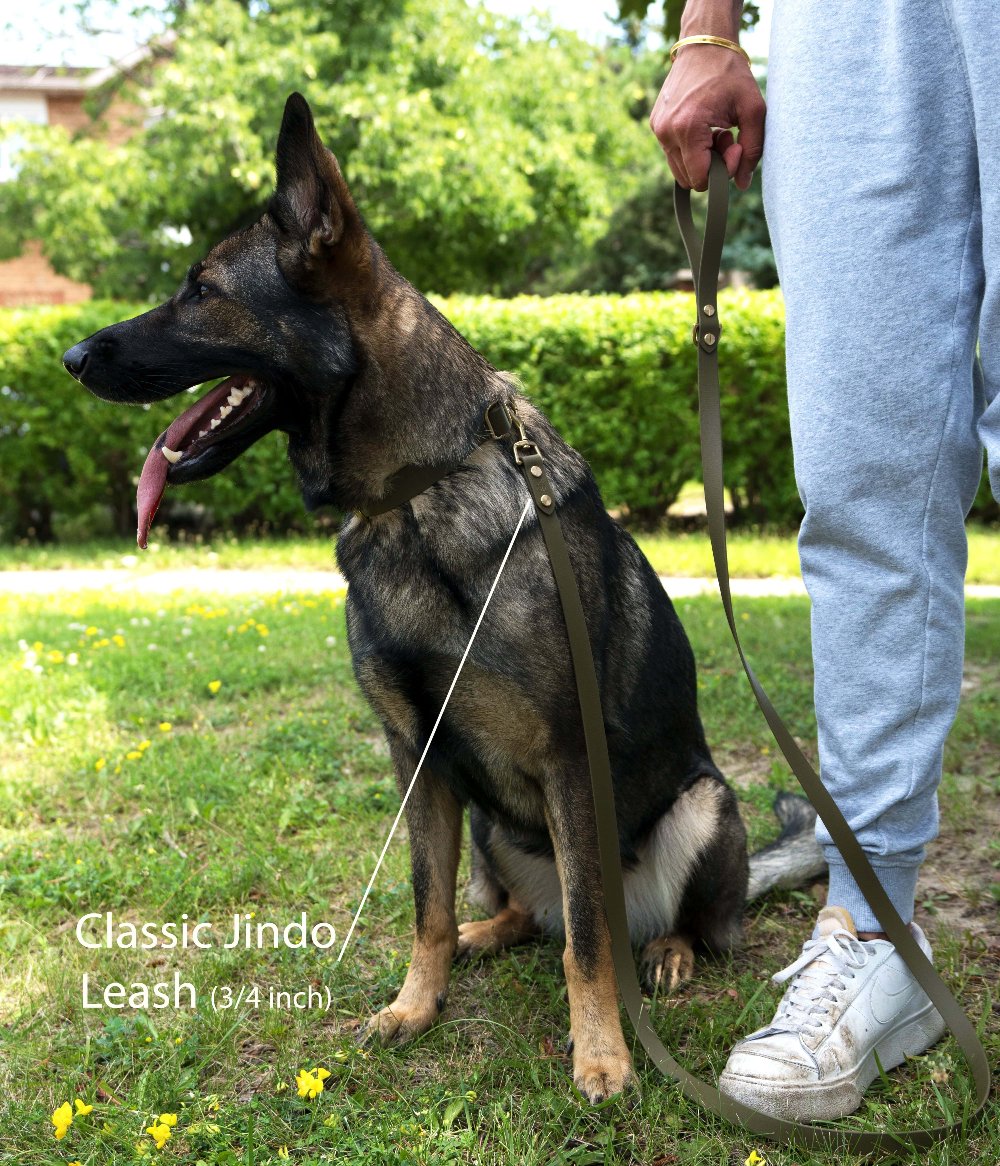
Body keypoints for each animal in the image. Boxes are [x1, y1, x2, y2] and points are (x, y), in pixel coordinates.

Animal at [66, 93, 820, 1100]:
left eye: (201, 289)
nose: (71, 356)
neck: (414, 494)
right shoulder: (418, 762)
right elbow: (425, 903)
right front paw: (416, 1004)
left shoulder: (568, 762)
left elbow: (589, 940)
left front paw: (601, 1054)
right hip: (497, 826)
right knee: (531, 917)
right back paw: (483, 935)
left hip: (700, 807)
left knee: (653, 921)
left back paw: (666, 953)